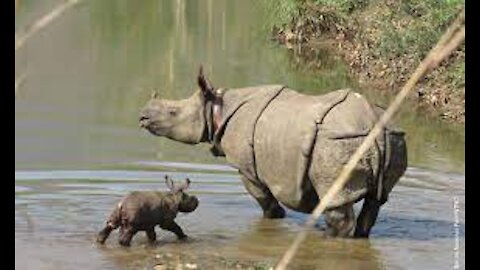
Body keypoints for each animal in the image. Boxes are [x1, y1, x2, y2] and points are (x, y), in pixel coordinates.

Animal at [139, 67, 404, 238]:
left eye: (173, 112)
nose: (143, 117)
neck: (216, 107)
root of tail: (373, 121)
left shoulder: (247, 168)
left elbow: (265, 201)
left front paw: (274, 219)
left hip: (338, 141)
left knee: (336, 202)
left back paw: (329, 237)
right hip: (391, 136)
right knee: (376, 201)